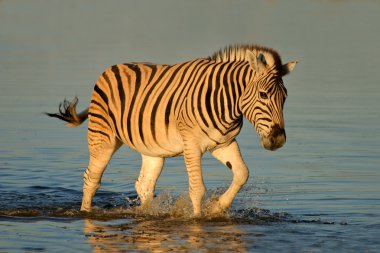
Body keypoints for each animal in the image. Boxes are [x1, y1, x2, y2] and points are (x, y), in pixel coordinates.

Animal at [46, 44, 296, 214]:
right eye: (263, 95)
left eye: (285, 97)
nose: (278, 140)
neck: (228, 104)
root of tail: (111, 68)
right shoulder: (191, 145)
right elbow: (197, 188)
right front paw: (198, 219)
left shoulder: (222, 143)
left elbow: (242, 174)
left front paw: (217, 207)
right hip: (103, 138)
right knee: (91, 179)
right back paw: (85, 213)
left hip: (152, 150)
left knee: (144, 185)